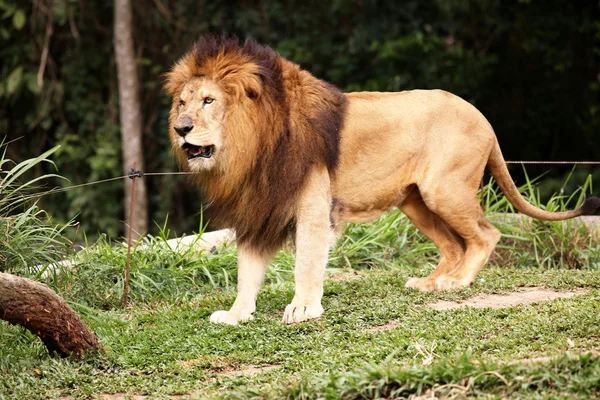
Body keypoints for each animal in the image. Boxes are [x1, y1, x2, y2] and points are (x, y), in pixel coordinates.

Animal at [164, 35, 600, 324]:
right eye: (182, 102)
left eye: (209, 101)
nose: (180, 128)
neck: (251, 147)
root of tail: (482, 118)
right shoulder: (257, 209)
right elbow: (247, 271)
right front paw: (236, 314)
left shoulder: (312, 206)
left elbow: (307, 261)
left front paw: (303, 307)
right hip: (415, 201)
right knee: (453, 245)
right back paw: (429, 283)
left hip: (444, 189)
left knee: (485, 234)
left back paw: (456, 283)